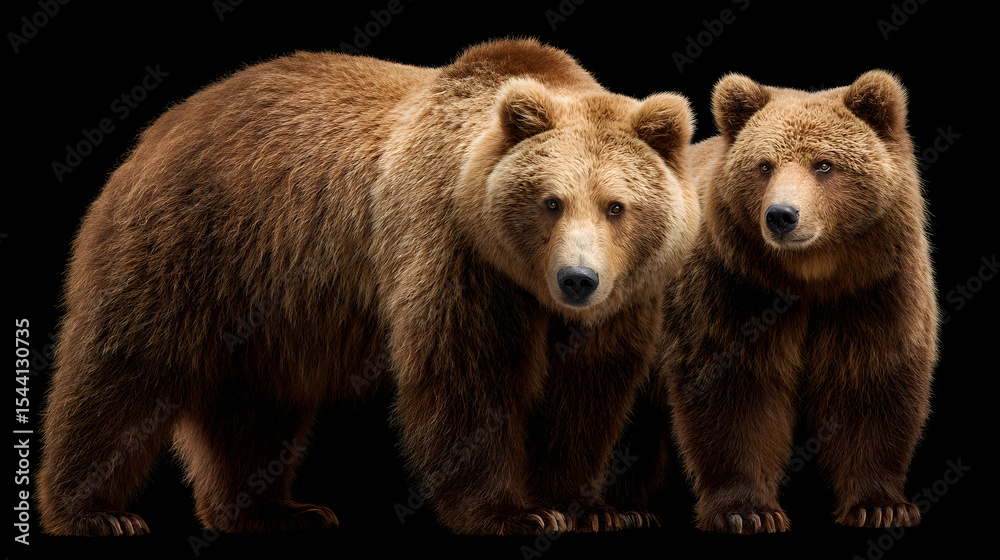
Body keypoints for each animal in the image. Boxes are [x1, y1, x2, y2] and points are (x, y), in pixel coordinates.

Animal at [37, 38, 699, 537]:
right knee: (122, 374)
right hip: (188, 246)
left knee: (254, 407)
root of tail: (163, 125)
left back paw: (274, 509)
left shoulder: (622, 303)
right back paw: (95, 513)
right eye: (551, 201)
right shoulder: (452, 252)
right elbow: (466, 373)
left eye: (616, 205)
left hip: (263, 308)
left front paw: (597, 509)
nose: (578, 279)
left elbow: (585, 391)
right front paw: (513, 512)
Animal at [647, 70, 937, 534]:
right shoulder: (732, 292)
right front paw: (745, 511)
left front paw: (880, 505)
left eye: (824, 164)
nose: (782, 215)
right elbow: (734, 394)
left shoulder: (875, 293)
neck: (809, 279)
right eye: (764, 165)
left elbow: (873, 385)